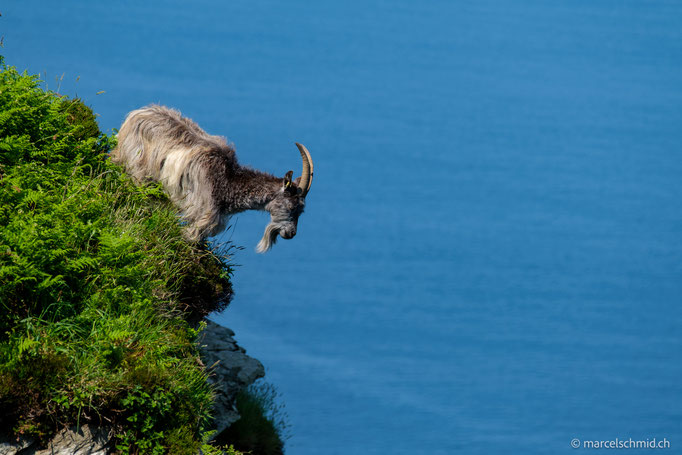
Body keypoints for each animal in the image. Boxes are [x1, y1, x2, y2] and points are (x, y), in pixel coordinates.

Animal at [110, 105, 314, 252]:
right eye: (291, 206)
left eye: (301, 210)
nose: (291, 233)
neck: (227, 181)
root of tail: (134, 115)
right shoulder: (202, 212)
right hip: (137, 165)